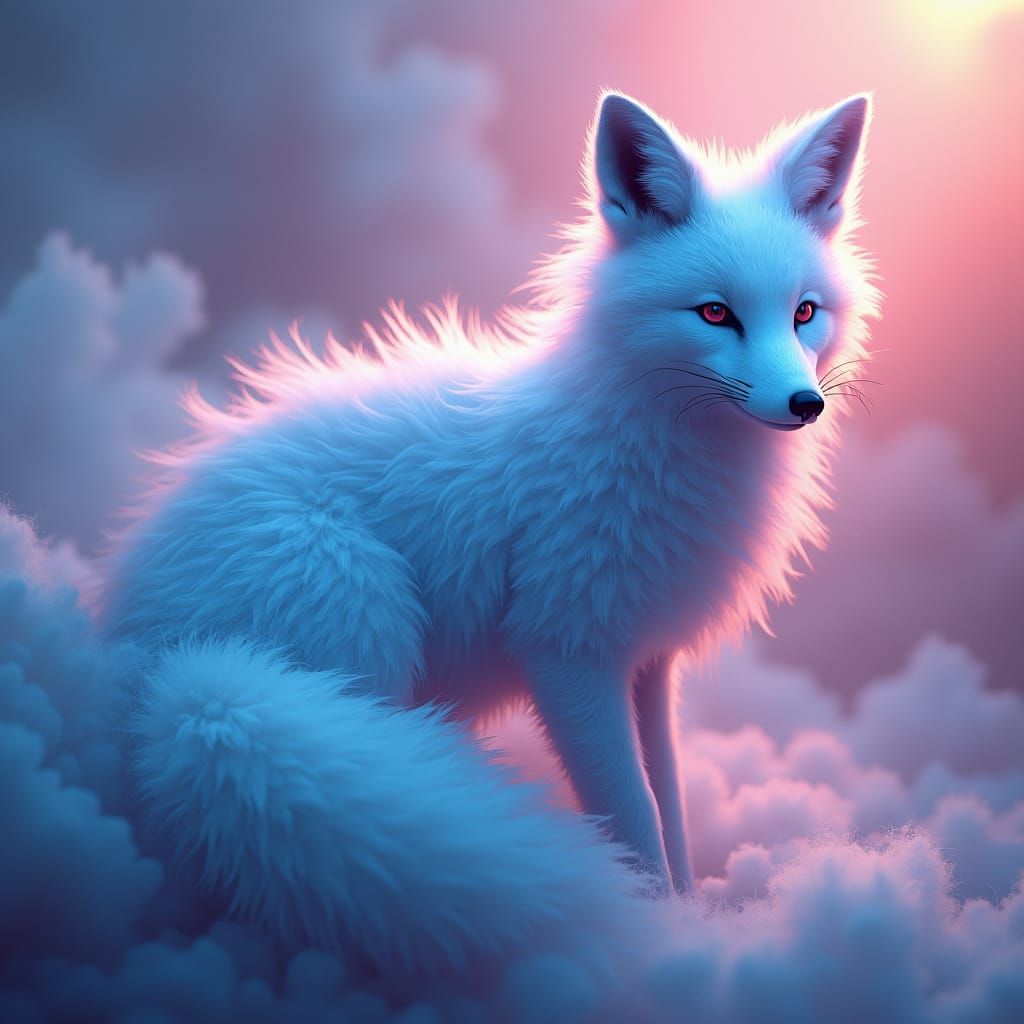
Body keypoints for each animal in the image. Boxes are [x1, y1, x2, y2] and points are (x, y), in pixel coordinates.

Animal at [103, 91, 879, 972]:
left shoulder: (647, 661)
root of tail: (166, 673)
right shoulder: (566, 651)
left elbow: (670, 808)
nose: (804, 403)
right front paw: (659, 940)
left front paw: (696, 922)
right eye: (715, 313)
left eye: (804, 313)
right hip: (360, 622)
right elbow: (632, 813)